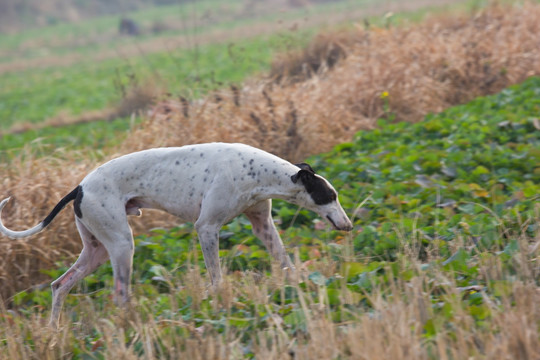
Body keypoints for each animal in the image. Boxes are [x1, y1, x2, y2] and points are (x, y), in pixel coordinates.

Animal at [0, 142, 350, 328]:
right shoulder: (206, 228)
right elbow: (216, 276)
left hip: (96, 250)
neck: (255, 170)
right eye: (330, 196)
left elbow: (284, 260)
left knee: (59, 285)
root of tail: (79, 187)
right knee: (119, 293)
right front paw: (221, 305)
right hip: (122, 245)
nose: (348, 225)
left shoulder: (262, 225)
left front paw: (300, 287)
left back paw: (53, 331)